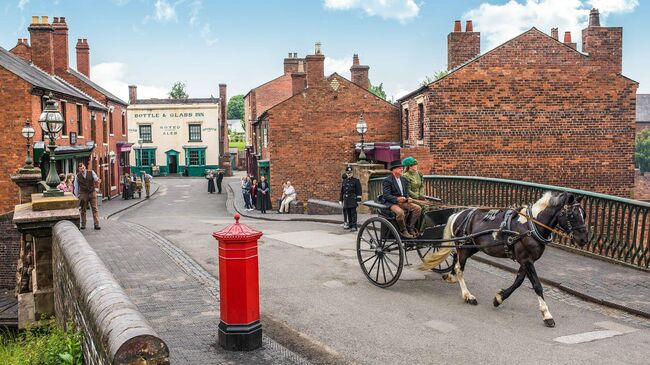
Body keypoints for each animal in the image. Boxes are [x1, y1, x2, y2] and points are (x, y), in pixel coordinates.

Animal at [422, 191, 584, 328]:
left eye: (584, 214)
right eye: (572, 215)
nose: (584, 239)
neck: (531, 225)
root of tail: (459, 214)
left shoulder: (525, 260)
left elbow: (518, 281)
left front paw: (499, 298)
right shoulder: (526, 259)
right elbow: (537, 285)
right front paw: (547, 315)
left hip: (471, 246)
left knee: (456, 261)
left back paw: (451, 277)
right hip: (464, 247)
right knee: (459, 268)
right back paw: (468, 296)